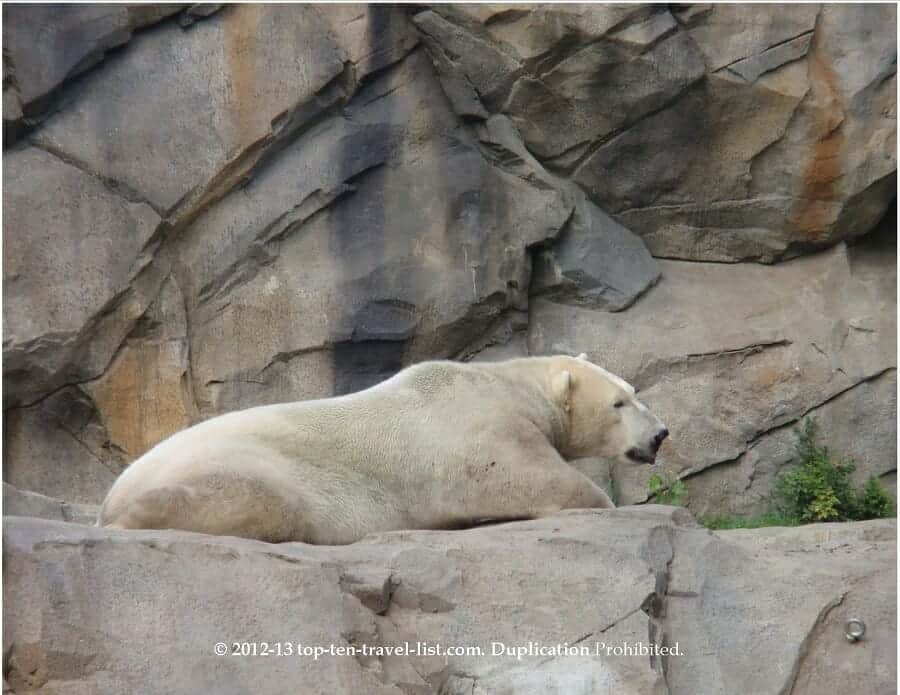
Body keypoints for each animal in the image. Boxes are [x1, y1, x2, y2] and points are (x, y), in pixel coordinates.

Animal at [97, 354, 668, 544]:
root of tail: (113, 493)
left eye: (633, 391)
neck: (510, 383)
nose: (660, 434)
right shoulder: (481, 430)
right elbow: (531, 477)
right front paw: (600, 498)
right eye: (620, 401)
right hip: (239, 467)